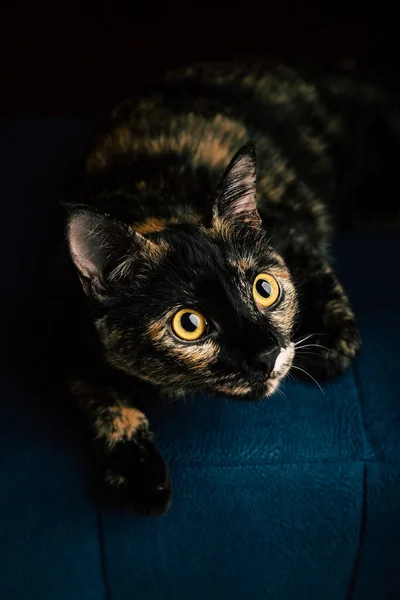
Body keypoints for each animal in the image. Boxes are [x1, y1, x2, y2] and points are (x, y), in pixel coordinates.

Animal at [49, 61, 400, 516]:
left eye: (265, 289)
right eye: (190, 324)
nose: (267, 354)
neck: (156, 204)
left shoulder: (291, 229)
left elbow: (321, 284)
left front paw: (329, 343)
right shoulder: (65, 325)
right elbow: (96, 394)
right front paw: (139, 473)